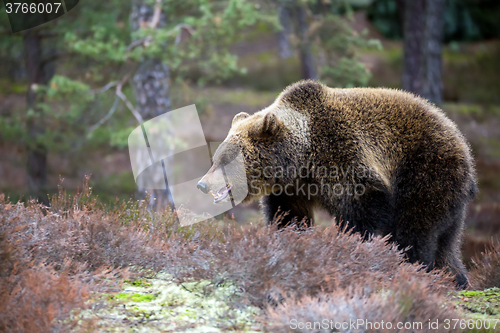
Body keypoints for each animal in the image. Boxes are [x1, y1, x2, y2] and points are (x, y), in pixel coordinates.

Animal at [196, 79, 476, 286]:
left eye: (225, 160)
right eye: (215, 159)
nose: (202, 184)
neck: (302, 158)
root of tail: (462, 141)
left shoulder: (343, 157)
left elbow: (362, 212)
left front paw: (354, 252)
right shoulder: (293, 187)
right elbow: (290, 217)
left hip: (425, 171)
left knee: (416, 230)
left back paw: (414, 269)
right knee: (446, 242)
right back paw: (455, 279)